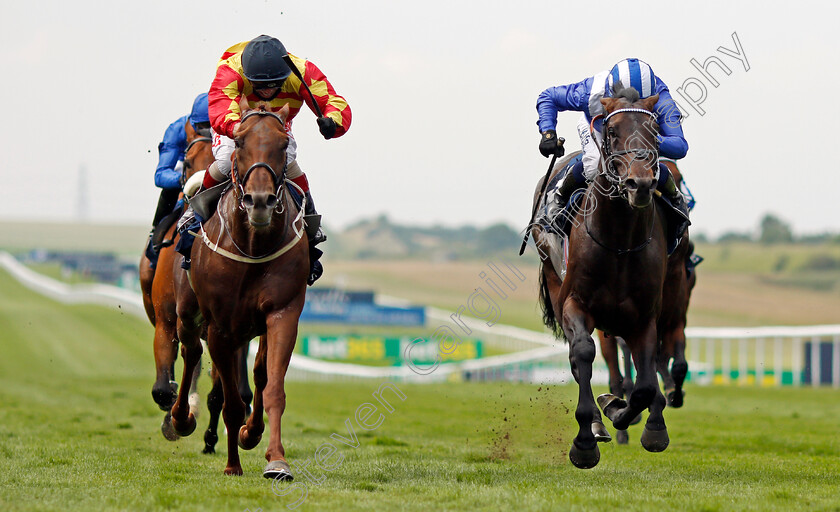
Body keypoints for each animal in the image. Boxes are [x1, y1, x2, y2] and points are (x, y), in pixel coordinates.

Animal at [167, 106, 308, 478]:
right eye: (240, 142)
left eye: (283, 144)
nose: (259, 201)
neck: (253, 245)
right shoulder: (219, 327)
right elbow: (229, 400)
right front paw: (232, 465)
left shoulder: (282, 313)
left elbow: (271, 387)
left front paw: (273, 455)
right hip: (189, 314)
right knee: (190, 351)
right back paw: (180, 417)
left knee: (255, 373)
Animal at [536, 87, 672, 468]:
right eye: (611, 132)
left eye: (656, 132)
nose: (639, 184)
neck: (619, 243)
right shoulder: (574, 303)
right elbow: (583, 353)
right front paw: (585, 441)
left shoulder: (644, 317)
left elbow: (644, 386)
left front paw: (630, 415)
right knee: (576, 356)